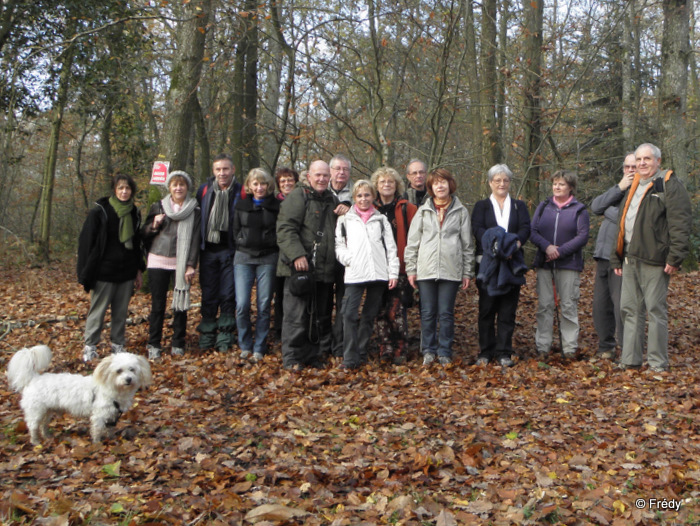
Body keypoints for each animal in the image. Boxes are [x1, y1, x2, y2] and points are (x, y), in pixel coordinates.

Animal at [6, 346, 152, 446]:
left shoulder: (112, 415)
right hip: (36, 411)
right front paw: (97, 443)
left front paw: (111, 439)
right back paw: (35, 442)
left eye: (132, 369)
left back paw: (47, 437)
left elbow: (110, 430)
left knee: (43, 425)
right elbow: (97, 430)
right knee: (33, 427)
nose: (128, 379)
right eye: (119, 371)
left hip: (48, 411)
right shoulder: (99, 416)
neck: (113, 388)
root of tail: (33, 378)